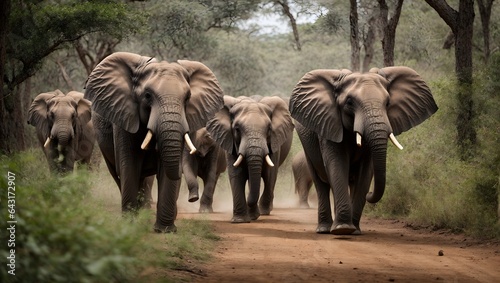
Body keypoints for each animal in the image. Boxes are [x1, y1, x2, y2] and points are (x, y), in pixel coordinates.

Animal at [85, 52, 224, 234]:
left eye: (188, 98)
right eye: (147, 95)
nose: (191, 199)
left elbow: (166, 170)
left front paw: (165, 230)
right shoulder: (125, 117)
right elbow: (129, 164)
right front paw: (130, 225)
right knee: (117, 172)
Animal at [206, 96, 294, 224]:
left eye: (269, 129)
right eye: (237, 129)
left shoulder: (274, 141)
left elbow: (269, 175)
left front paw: (258, 214)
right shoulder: (230, 141)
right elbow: (237, 174)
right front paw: (239, 220)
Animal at [290, 66, 438, 235]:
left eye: (388, 103)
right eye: (349, 102)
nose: (370, 194)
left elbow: (366, 171)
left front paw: (353, 231)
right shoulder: (329, 125)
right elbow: (337, 164)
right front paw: (342, 229)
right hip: (306, 145)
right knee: (320, 182)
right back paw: (324, 229)